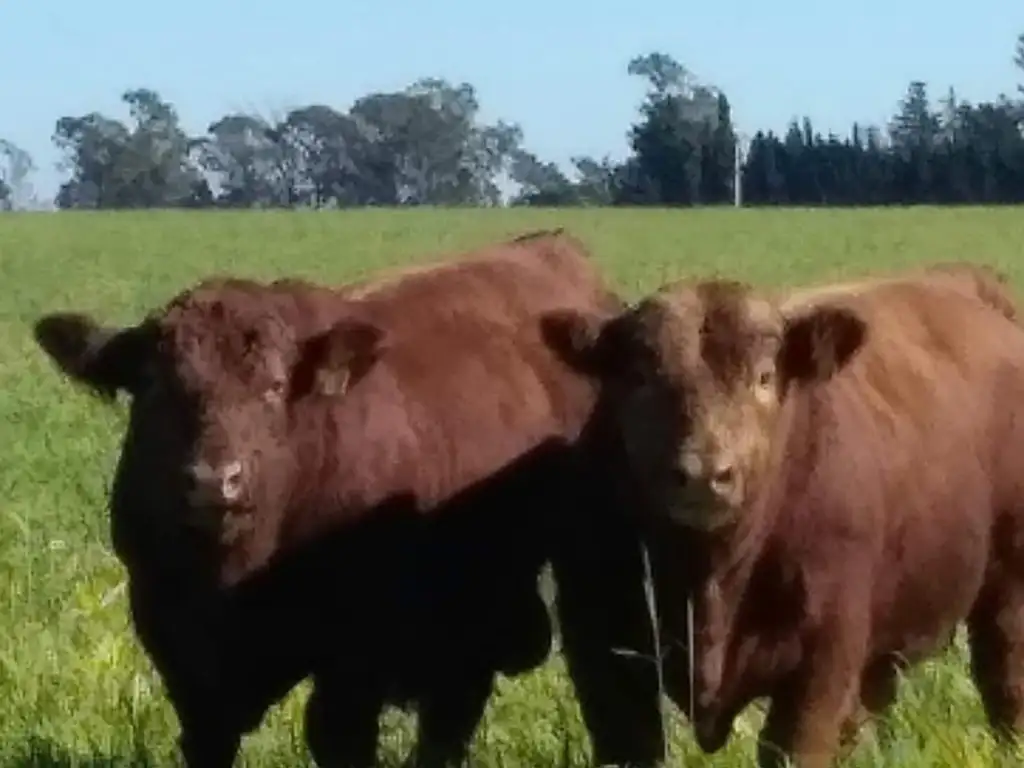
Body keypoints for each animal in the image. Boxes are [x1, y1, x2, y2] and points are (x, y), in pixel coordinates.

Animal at [32, 231, 663, 768]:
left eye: (274, 388)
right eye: (154, 387)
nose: (215, 480)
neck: (233, 570)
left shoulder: (355, 655)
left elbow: (338, 737)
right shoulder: (179, 650)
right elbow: (208, 738)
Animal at [544, 262, 1024, 765]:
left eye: (764, 377)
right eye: (638, 377)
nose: (704, 473)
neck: (709, 578)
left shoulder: (821, 662)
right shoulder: (602, 655)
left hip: (1010, 589)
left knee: (1005, 681)